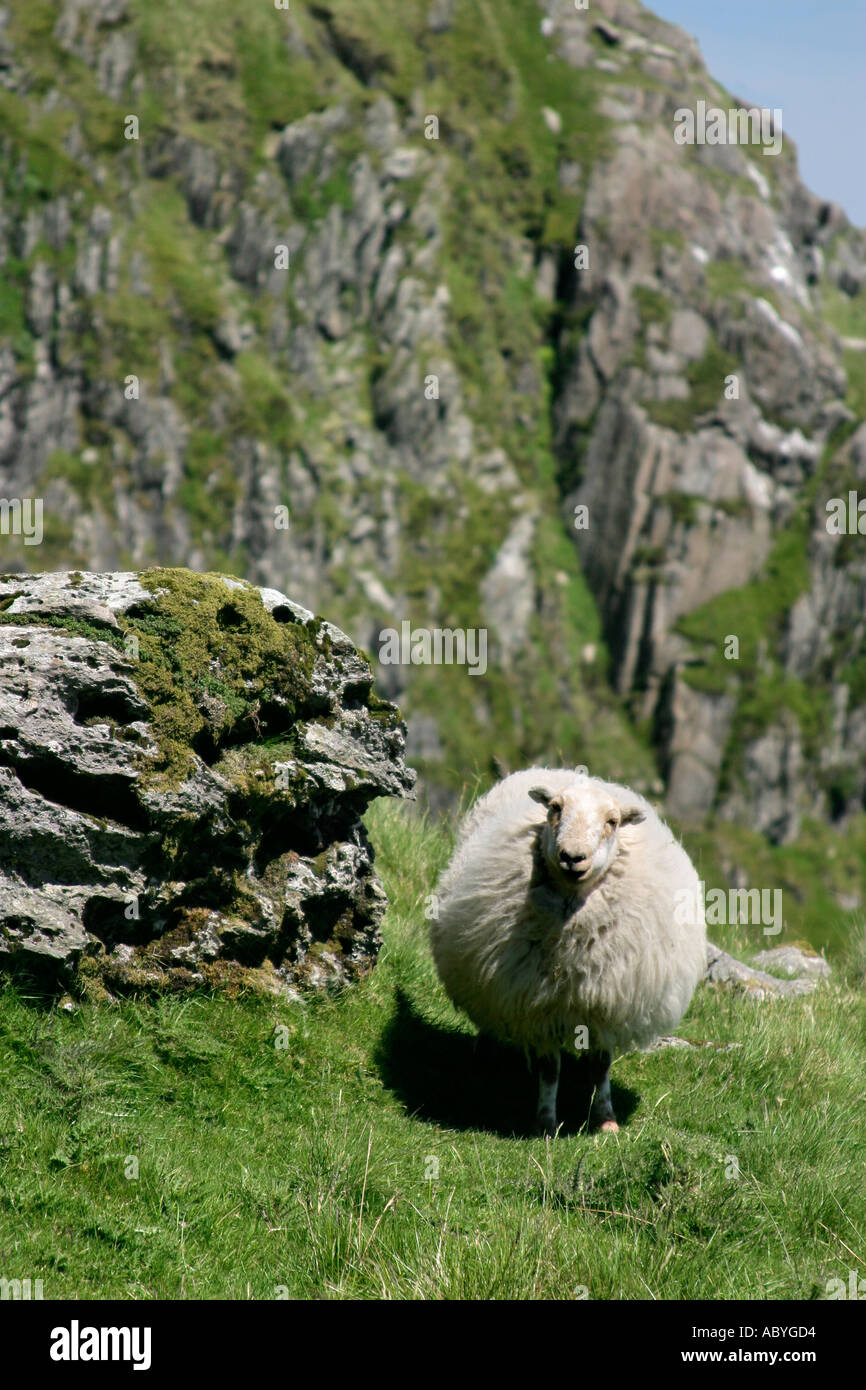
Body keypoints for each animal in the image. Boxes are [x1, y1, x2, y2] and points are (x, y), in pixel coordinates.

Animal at [429, 767, 707, 1135]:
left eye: (612, 821)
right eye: (555, 808)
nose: (572, 857)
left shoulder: (605, 1003)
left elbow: (600, 1067)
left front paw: (606, 1120)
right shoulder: (540, 1005)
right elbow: (550, 1069)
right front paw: (546, 1122)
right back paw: (485, 1054)